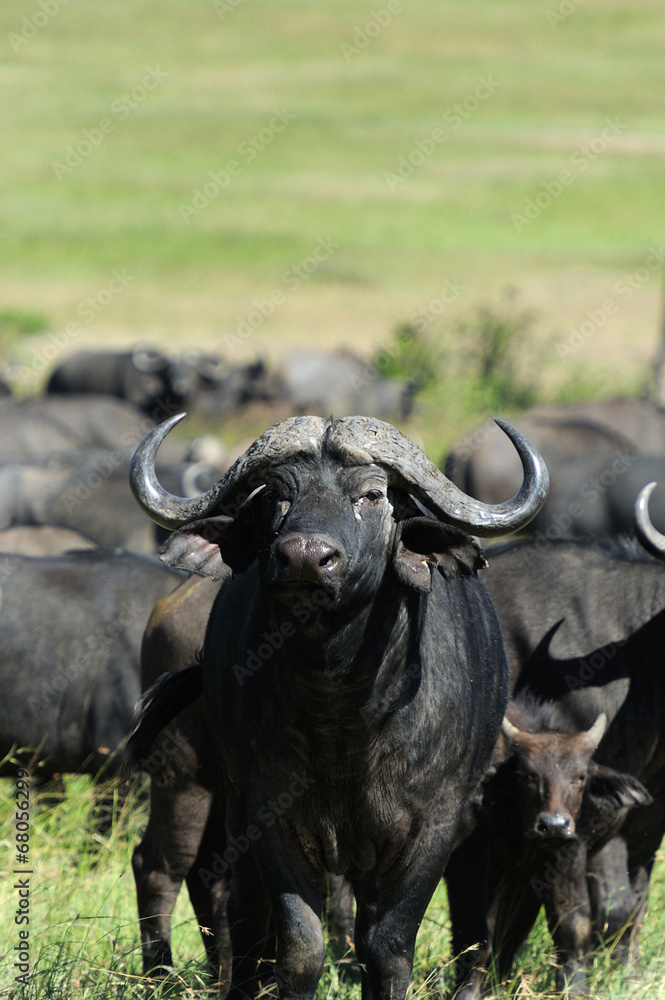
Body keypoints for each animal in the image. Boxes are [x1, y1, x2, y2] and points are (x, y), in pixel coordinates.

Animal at [127, 412, 547, 1000]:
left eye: (371, 495)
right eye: (277, 494)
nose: (305, 557)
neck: (344, 713)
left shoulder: (435, 826)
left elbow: (387, 947)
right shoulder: (269, 815)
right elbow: (301, 944)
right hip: (188, 778)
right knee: (181, 875)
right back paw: (174, 977)